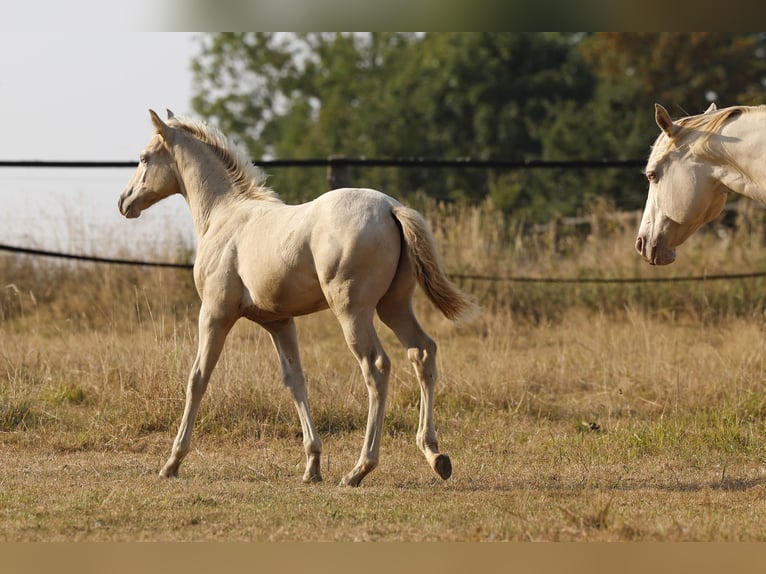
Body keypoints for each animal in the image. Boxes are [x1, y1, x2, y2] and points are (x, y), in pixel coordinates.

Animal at [118, 109, 476, 487]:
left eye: (144, 158)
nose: (124, 201)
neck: (224, 216)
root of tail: (391, 208)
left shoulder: (215, 313)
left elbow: (198, 377)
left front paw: (172, 461)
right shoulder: (279, 321)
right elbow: (295, 381)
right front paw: (312, 465)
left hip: (353, 311)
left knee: (376, 367)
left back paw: (359, 469)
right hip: (393, 306)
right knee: (422, 352)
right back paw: (435, 455)